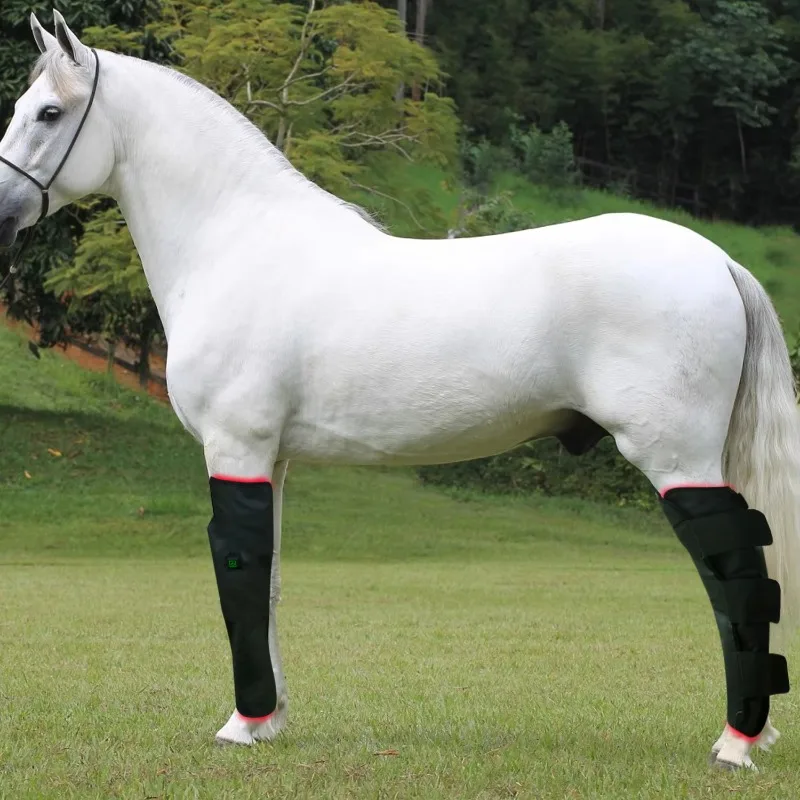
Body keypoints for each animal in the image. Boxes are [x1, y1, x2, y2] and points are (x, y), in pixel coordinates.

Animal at [1, 11, 798, 771]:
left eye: (48, 112)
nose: (3, 212)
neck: (236, 244)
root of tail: (719, 260)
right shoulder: (272, 460)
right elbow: (270, 581)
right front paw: (272, 721)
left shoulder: (235, 450)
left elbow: (239, 576)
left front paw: (241, 725)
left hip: (677, 461)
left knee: (736, 574)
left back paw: (737, 743)